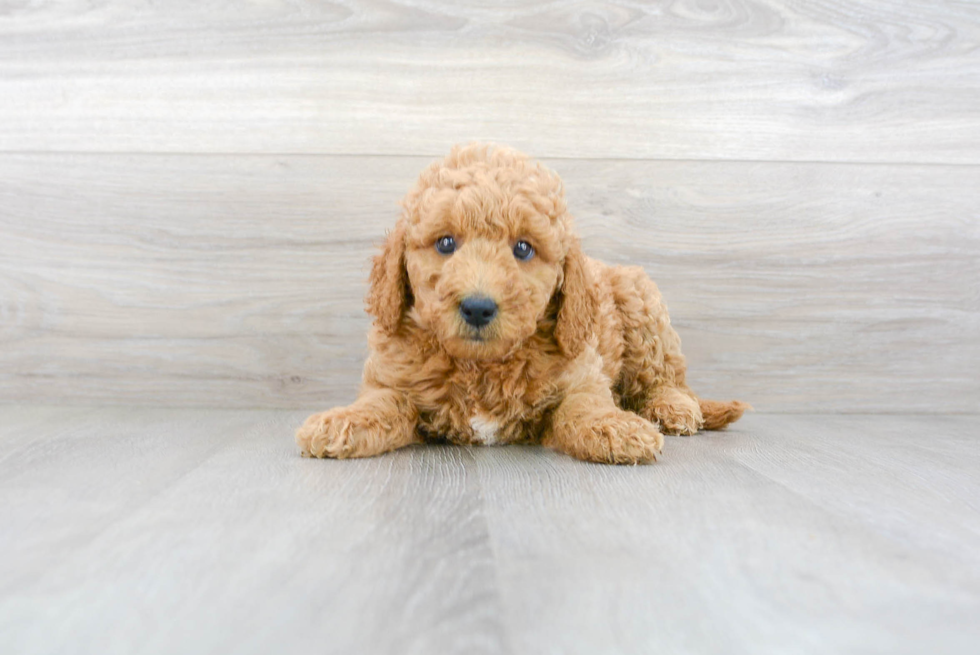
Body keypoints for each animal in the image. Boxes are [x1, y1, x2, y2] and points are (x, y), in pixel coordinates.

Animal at [294, 143, 748, 464]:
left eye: (524, 249)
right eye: (445, 243)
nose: (478, 307)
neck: (480, 367)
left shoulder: (582, 373)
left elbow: (584, 404)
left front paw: (614, 428)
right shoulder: (396, 379)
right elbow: (379, 402)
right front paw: (342, 421)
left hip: (642, 304)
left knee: (669, 379)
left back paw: (670, 409)